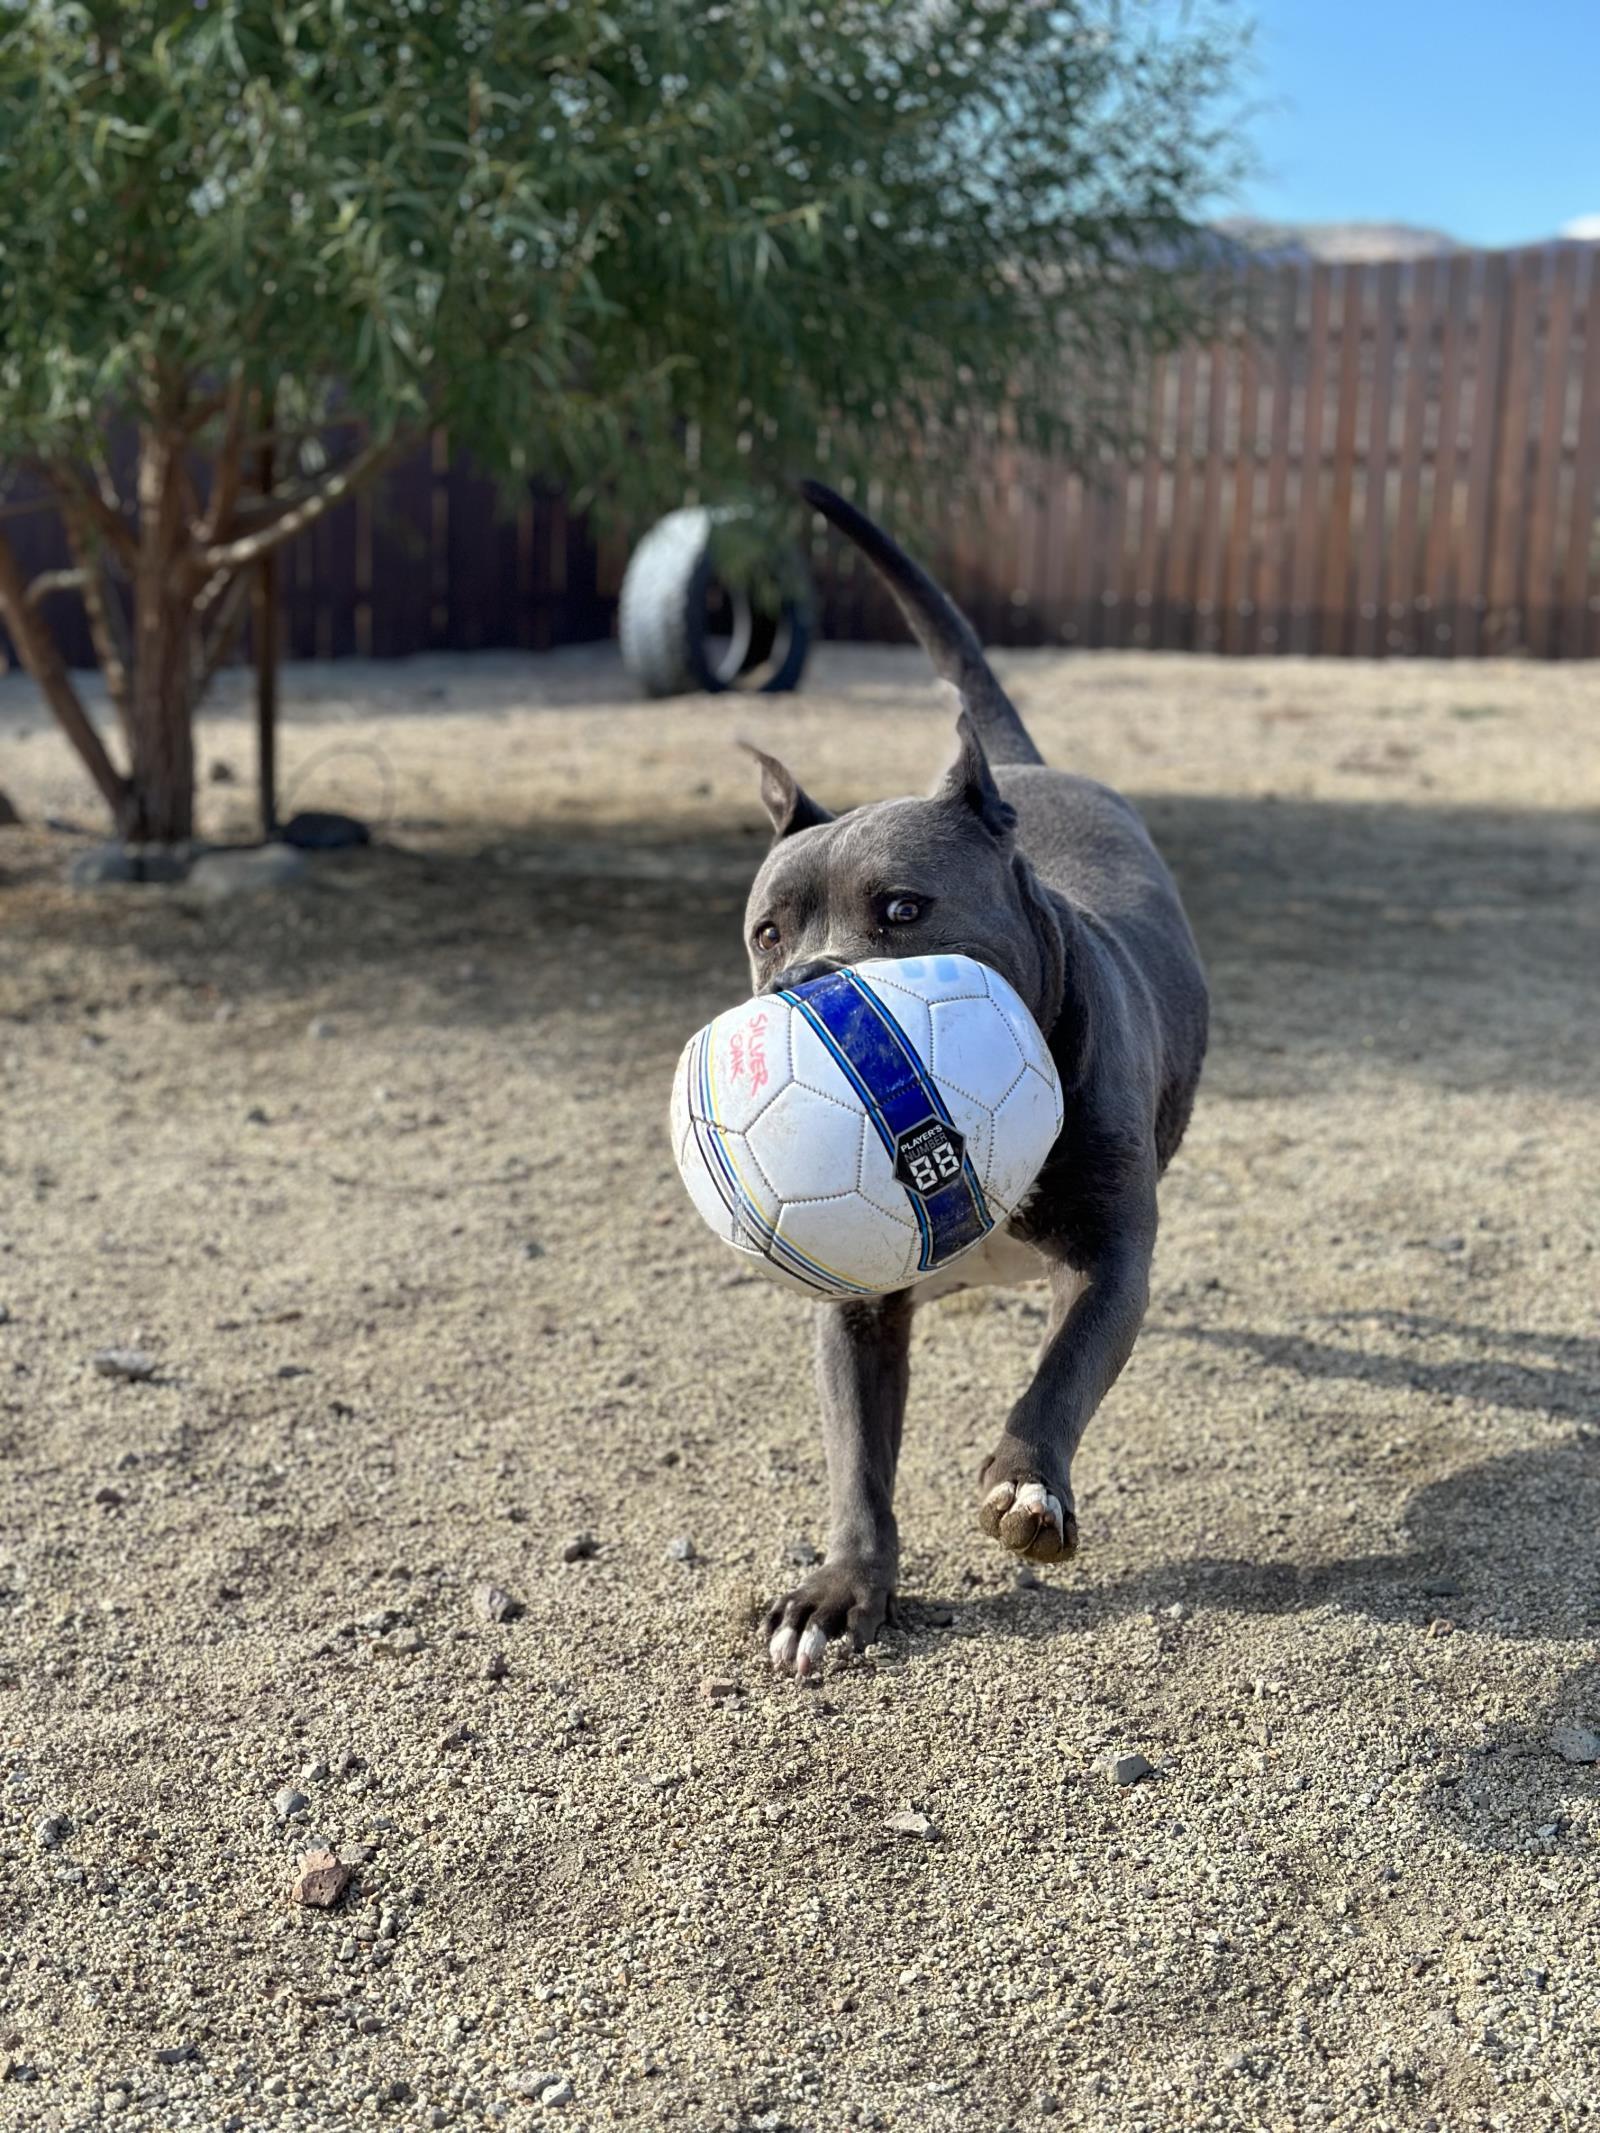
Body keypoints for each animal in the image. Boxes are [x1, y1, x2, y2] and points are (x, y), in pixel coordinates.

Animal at [755, 475, 1211, 1672]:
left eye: (903, 909)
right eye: (767, 932)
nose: (806, 984)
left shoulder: (1110, 1260)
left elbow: (1062, 1371)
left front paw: (1026, 1487)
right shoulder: (857, 1301)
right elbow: (858, 1458)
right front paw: (842, 1587)